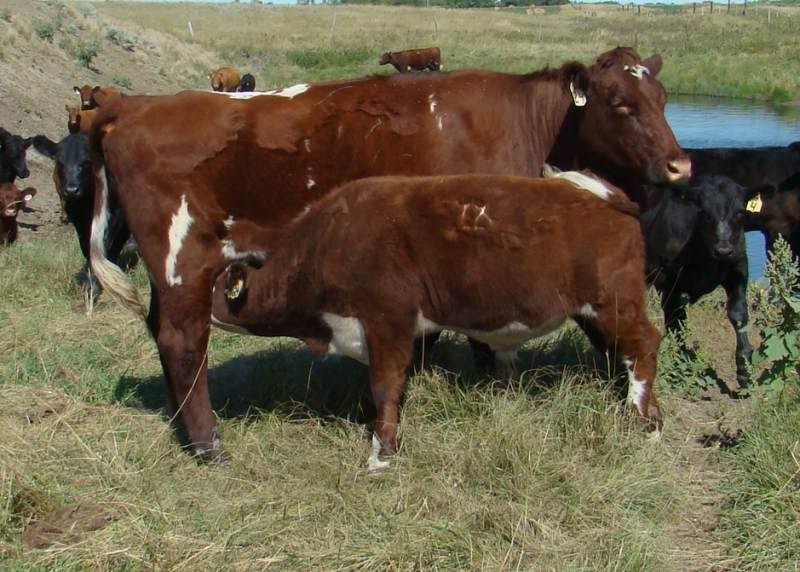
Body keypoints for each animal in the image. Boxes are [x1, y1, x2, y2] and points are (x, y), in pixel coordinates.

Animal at [211, 172, 662, 469]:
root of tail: (596, 189)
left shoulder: (388, 319)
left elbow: (385, 384)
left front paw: (381, 453)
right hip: (593, 311)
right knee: (623, 352)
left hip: (613, 301)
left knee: (644, 345)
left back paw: (642, 419)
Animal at [641, 174, 762, 390]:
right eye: (705, 213)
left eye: (740, 212)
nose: (723, 250)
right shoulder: (671, 283)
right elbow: (677, 321)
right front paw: (679, 362)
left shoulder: (739, 267)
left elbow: (738, 313)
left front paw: (744, 372)